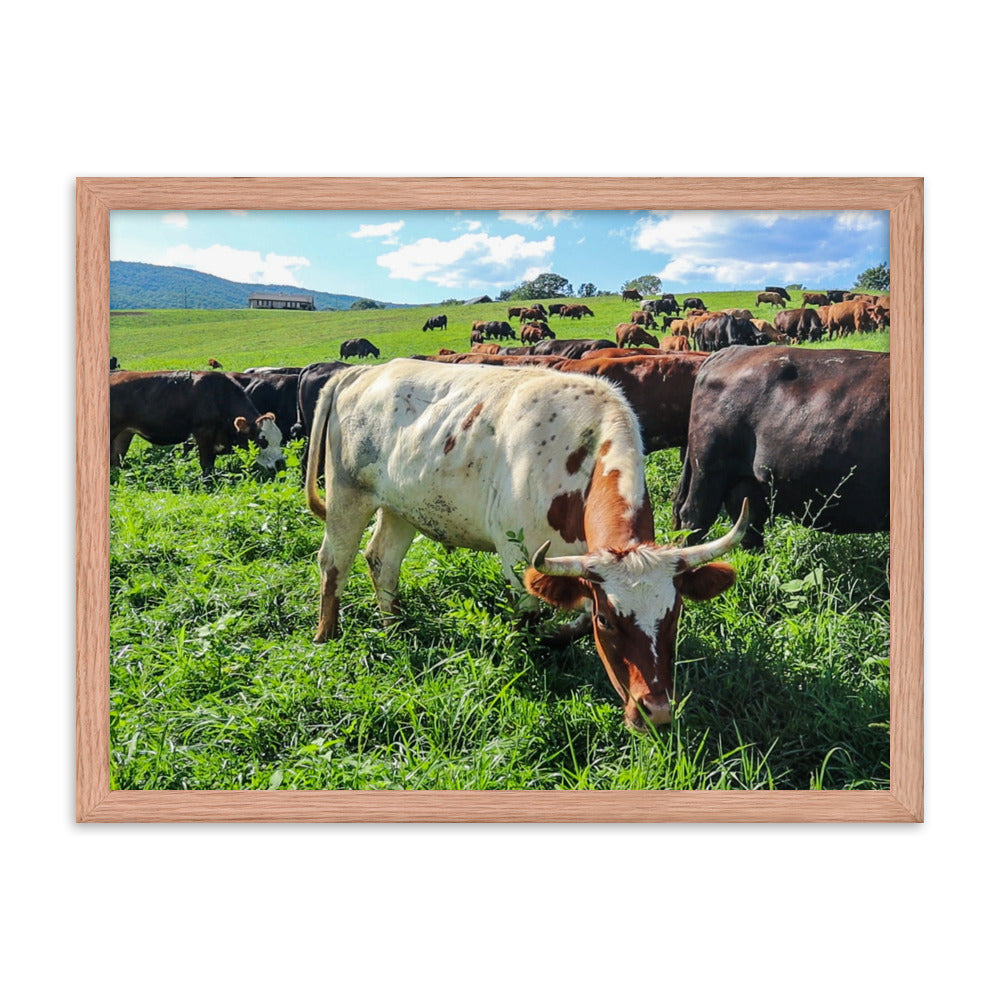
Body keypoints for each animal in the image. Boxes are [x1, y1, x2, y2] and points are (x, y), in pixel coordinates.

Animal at [110, 370, 285, 476]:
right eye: (262, 441)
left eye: (280, 439)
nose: (281, 464)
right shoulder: (204, 433)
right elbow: (206, 464)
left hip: (124, 433)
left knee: (116, 460)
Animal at [304, 358, 747, 730]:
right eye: (609, 622)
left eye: (674, 615)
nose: (655, 712)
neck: (580, 456)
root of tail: (362, 371)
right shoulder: (518, 557)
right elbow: (531, 618)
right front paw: (531, 658)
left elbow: (575, 619)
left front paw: (557, 637)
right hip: (347, 495)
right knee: (334, 563)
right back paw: (326, 636)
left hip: (401, 508)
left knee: (382, 561)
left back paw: (395, 627)